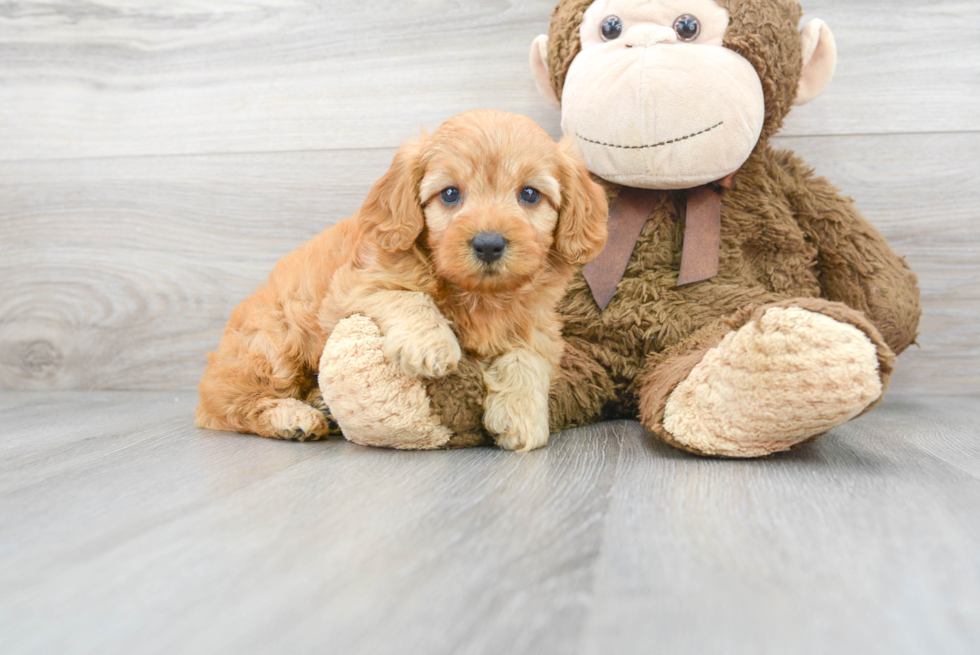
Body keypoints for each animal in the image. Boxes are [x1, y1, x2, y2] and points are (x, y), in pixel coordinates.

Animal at [196, 111, 608, 452]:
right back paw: (292, 417)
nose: (489, 244)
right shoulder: (351, 289)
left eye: (529, 194)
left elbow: (528, 359)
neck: (478, 295)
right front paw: (431, 344)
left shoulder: (540, 326)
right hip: (273, 345)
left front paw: (522, 415)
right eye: (450, 194)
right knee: (225, 406)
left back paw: (320, 404)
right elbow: (406, 296)